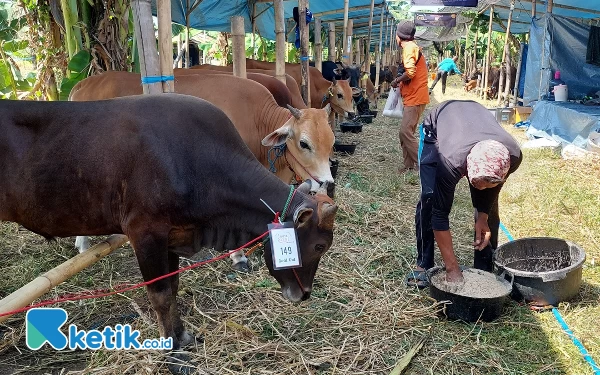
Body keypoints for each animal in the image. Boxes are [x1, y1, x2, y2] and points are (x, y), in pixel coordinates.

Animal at [0, 93, 338, 374]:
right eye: (319, 246)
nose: (304, 294)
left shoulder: (174, 237)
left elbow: (174, 288)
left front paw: (182, 335)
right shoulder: (145, 234)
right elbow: (161, 296)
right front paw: (172, 354)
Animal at [69, 71, 338, 274]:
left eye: (332, 141)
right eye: (304, 143)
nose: (327, 183)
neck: (256, 120)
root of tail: (83, 83)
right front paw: (238, 256)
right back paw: (83, 243)